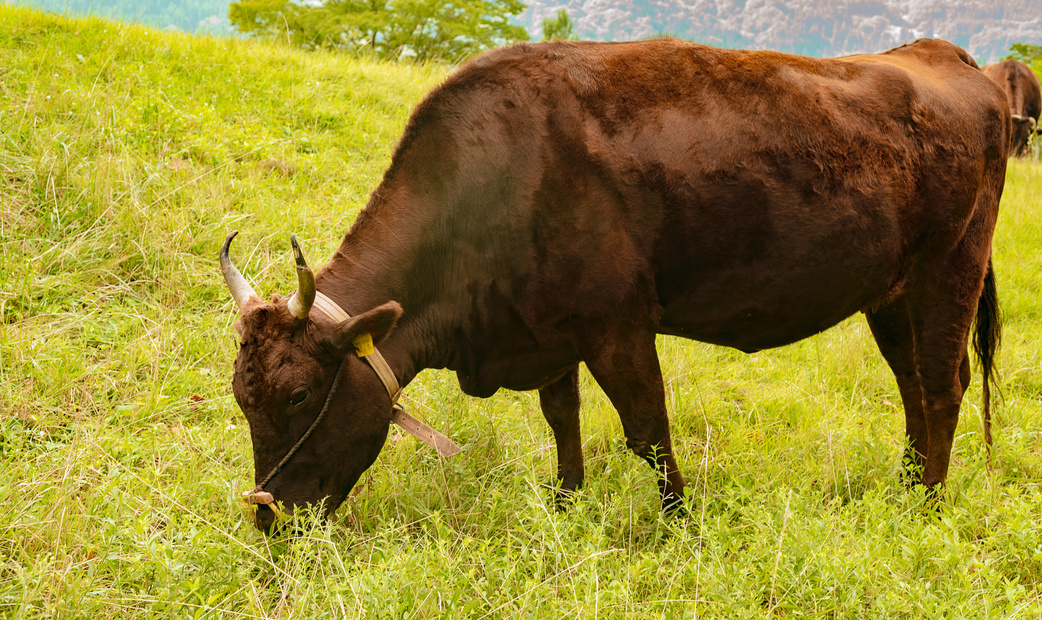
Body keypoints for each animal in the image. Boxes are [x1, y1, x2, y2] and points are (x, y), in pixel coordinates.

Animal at [221, 37, 1008, 533]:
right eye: (242, 399)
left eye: (300, 396)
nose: (267, 517)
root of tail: (945, 56)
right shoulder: (545, 328)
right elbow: (561, 418)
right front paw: (566, 503)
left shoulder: (617, 324)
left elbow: (648, 432)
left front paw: (681, 524)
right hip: (891, 295)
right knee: (912, 383)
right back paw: (906, 485)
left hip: (950, 268)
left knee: (944, 384)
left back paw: (928, 506)